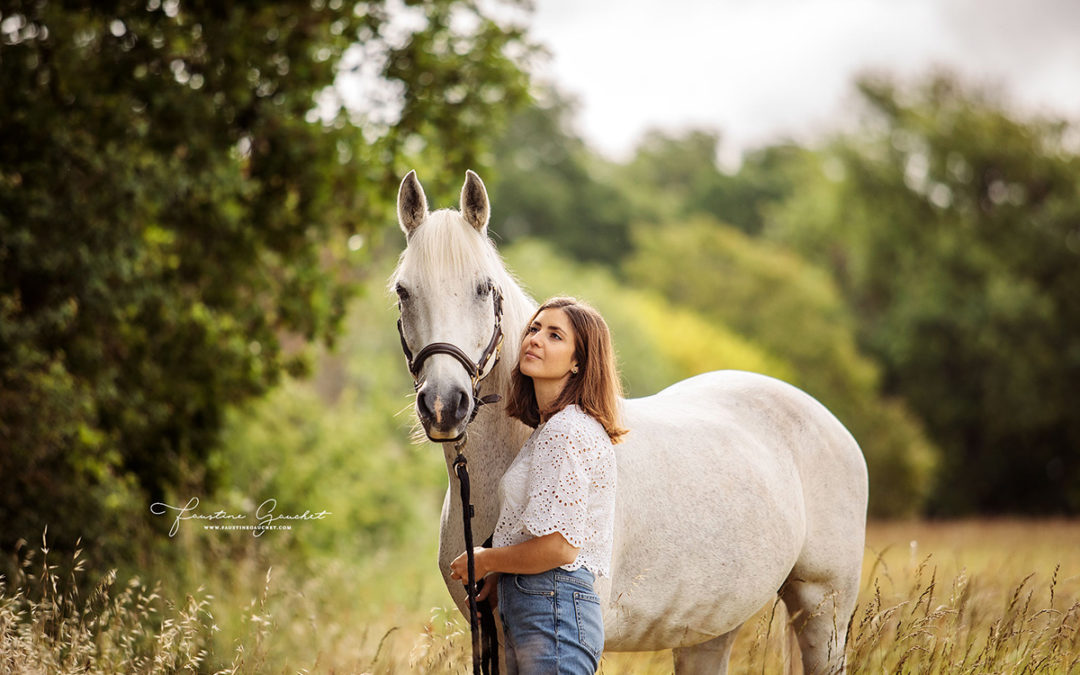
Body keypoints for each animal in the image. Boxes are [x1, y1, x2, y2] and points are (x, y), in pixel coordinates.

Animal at [388, 169, 868, 673]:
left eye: (484, 287)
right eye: (403, 291)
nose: (445, 404)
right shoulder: (493, 637)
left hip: (824, 609)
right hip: (712, 628)